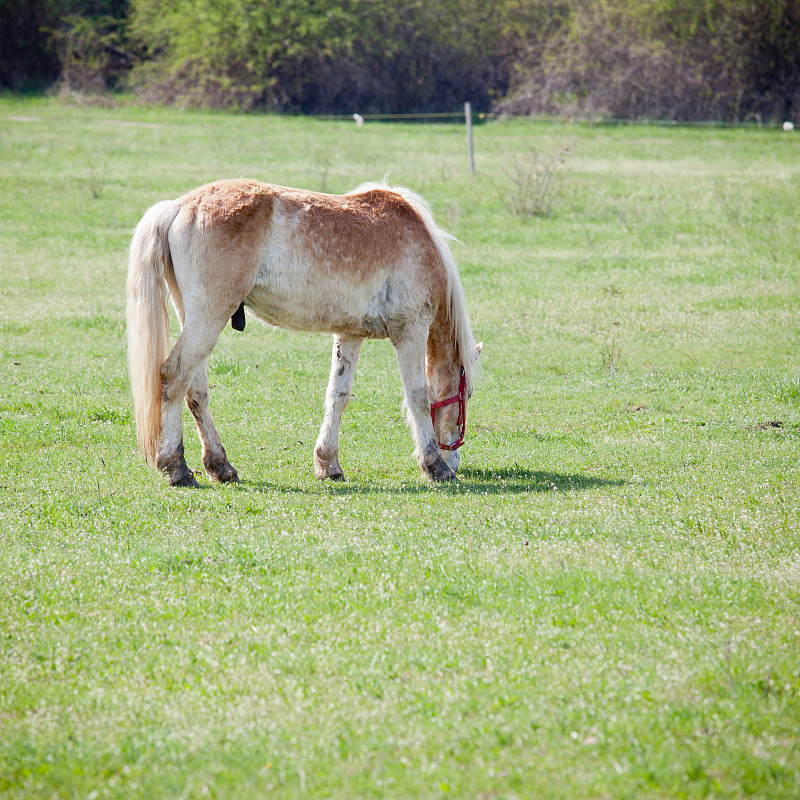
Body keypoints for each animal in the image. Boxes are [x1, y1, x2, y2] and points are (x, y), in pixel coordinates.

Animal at [126, 177, 482, 484]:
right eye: (466, 396)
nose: (456, 462)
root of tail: (177, 207)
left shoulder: (349, 335)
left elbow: (338, 396)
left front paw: (328, 463)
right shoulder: (410, 330)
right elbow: (418, 397)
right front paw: (435, 466)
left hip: (195, 318)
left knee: (196, 391)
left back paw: (219, 465)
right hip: (209, 317)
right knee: (173, 377)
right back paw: (176, 467)